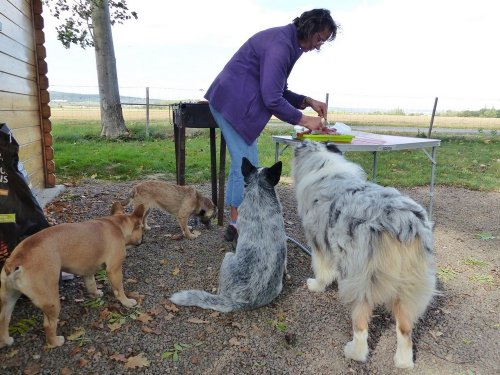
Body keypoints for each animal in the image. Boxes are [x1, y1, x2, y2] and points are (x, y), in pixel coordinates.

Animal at [0, 203, 145, 350]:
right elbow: (119, 289)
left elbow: (91, 283)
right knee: (48, 325)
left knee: (3, 319)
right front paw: (126, 302)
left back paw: (5, 340)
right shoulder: (114, 269)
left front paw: (95, 294)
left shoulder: (88, 270)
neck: (117, 224)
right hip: (51, 300)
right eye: (142, 228)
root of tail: (15, 261)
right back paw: (55, 342)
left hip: (8, 297)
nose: (143, 239)